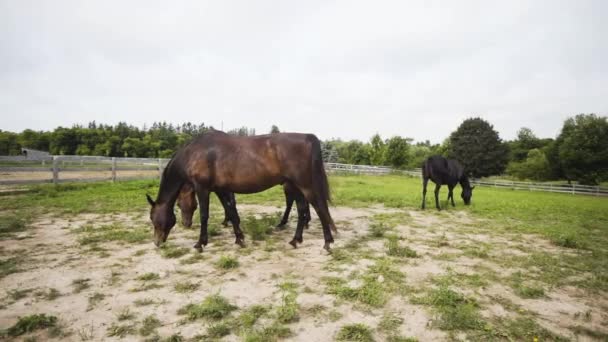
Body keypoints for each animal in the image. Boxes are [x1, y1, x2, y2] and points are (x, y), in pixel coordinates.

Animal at [148, 130, 338, 252]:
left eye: (153, 218)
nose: (156, 242)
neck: (196, 153)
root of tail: (308, 137)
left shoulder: (203, 189)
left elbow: (204, 215)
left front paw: (200, 243)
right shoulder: (221, 190)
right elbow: (231, 212)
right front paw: (239, 239)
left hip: (304, 185)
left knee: (319, 208)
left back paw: (327, 242)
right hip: (294, 186)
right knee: (302, 210)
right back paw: (295, 240)